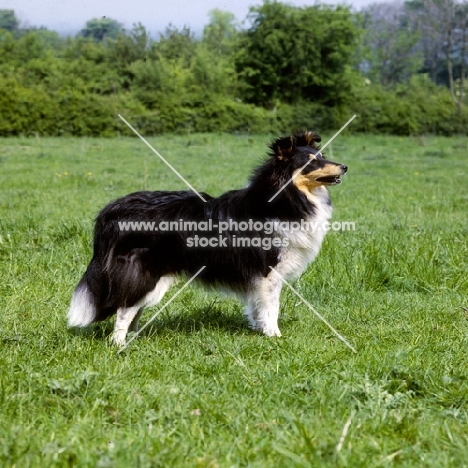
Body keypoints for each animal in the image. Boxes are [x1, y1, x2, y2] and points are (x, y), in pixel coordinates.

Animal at [68, 132, 348, 344]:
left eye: (322, 157)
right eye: (311, 162)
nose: (345, 166)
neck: (283, 199)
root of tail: (113, 210)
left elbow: (258, 307)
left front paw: (259, 330)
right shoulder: (268, 272)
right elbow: (271, 307)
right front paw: (274, 336)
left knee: (133, 310)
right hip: (145, 274)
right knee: (124, 310)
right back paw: (119, 344)